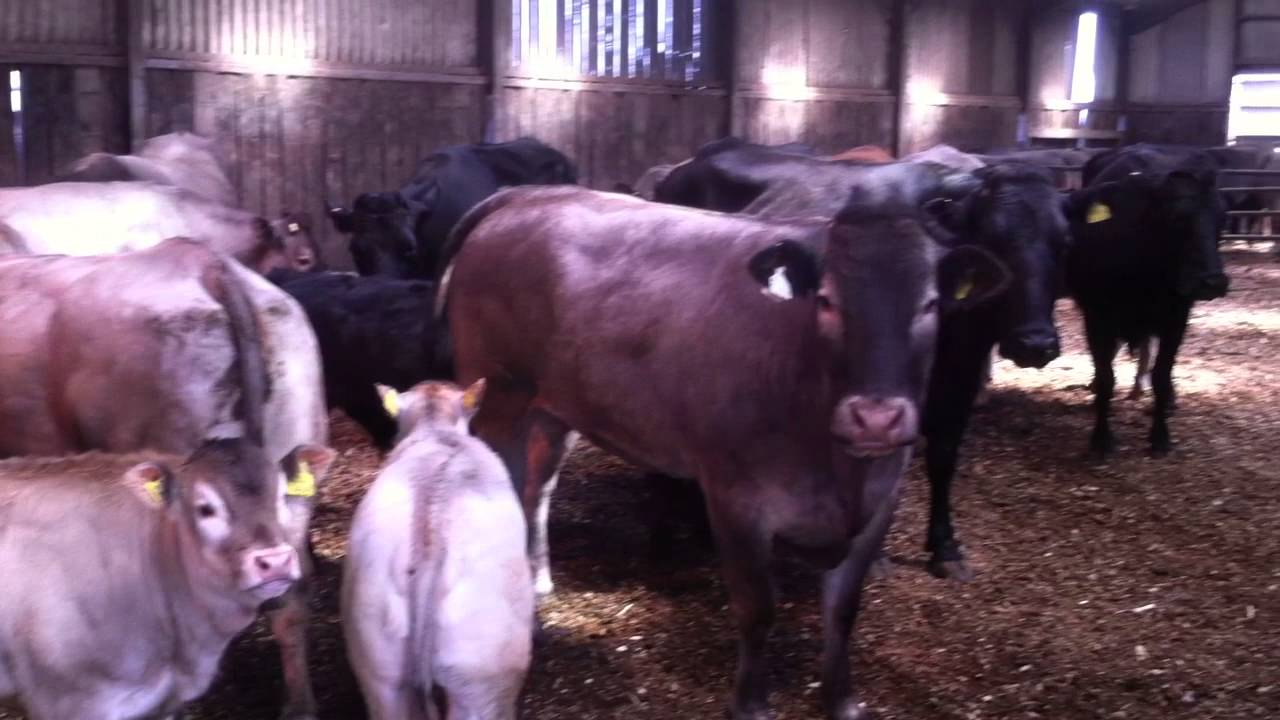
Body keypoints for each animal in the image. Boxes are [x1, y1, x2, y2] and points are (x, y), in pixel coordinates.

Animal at [444, 185, 1011, 720]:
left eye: (930, 305)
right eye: (826, 300)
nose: (875, 417)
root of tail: (529, 196)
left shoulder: (882, 499)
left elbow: (844, 610)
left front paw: (843, 701)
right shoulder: (735, 497)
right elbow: (758, 607)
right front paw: (750, 703)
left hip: (554, 409)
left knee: (536, 490)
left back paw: (537, 586)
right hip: (500, 398)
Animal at [654, 143, 1070, 580]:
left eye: (1063, 242)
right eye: (994, 240)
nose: (1034, 342)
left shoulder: (961, 376)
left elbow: (943, 457)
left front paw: (945, 546)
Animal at [1064, 157, 1229, 459]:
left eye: (1222, 219)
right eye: (1177, 218)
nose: (1213, 281)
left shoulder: (1177, 318)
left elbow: (1162, 375)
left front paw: (1160, 437)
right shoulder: (1096, 318)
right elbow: (1106, 378)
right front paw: (1101, 440)